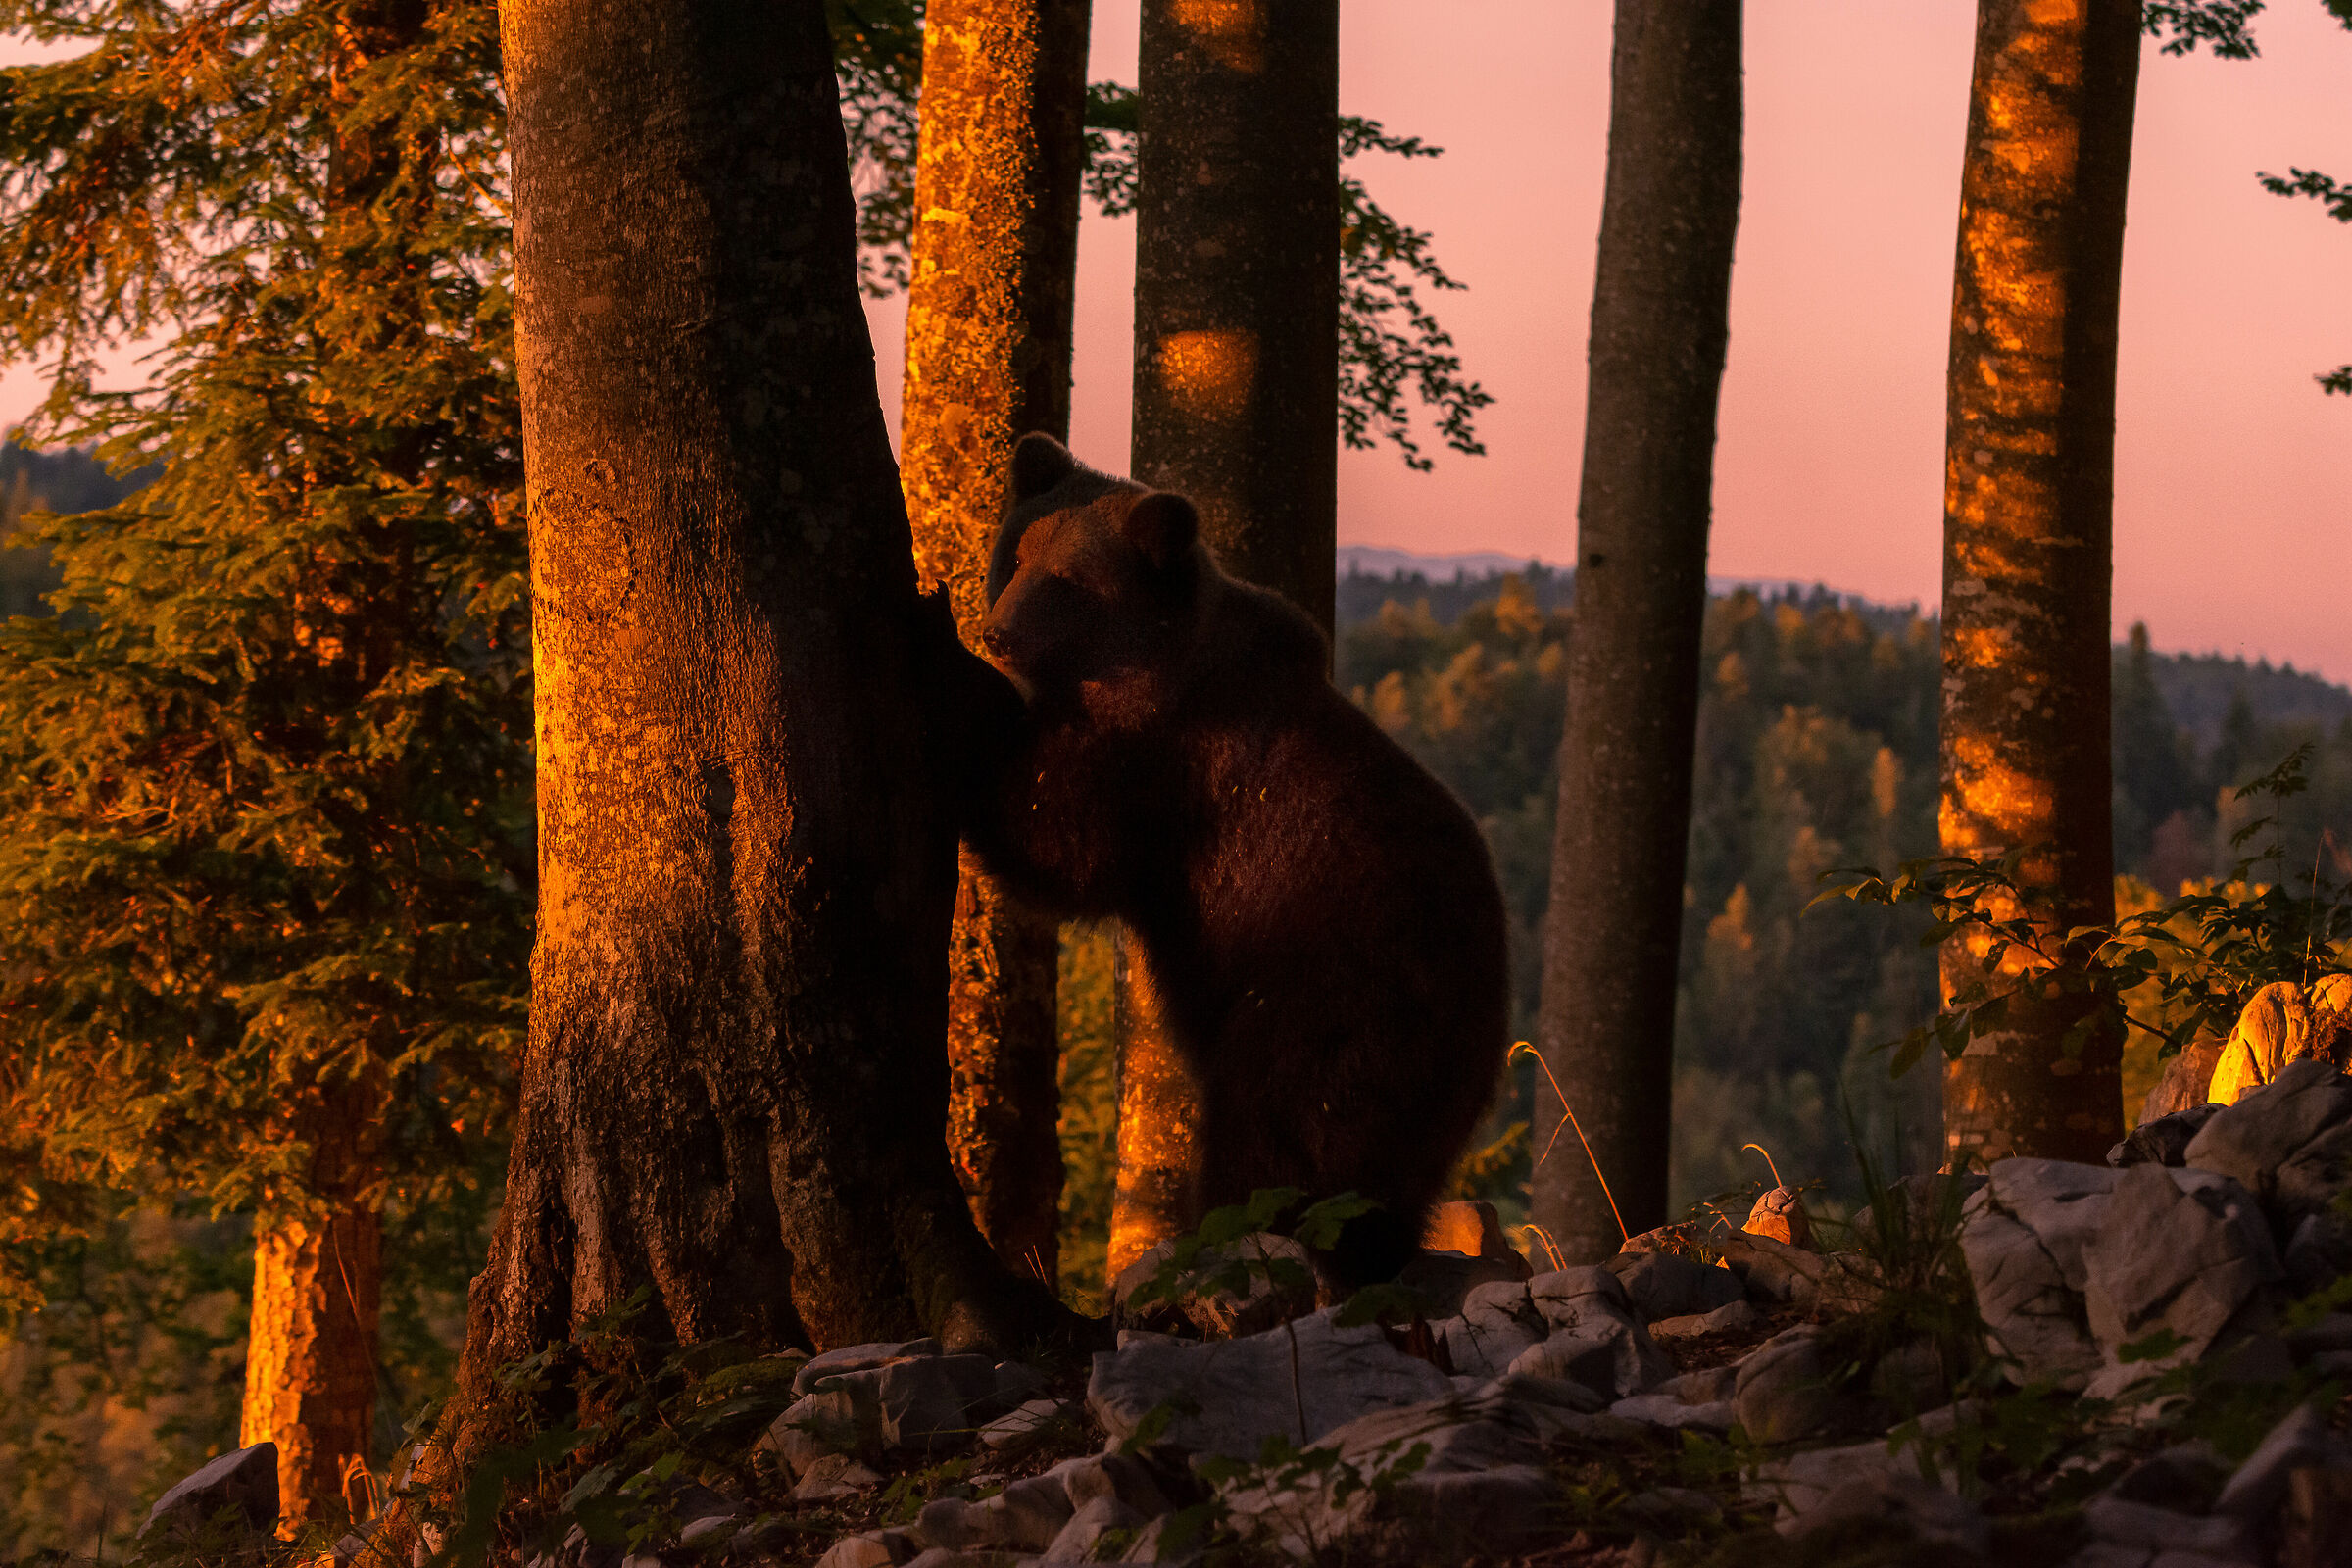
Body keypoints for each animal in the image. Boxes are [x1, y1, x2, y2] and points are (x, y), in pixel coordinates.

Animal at [960, 433, 1511, 1285]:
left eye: (1070, 580)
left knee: (1277, 1145)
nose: (997, 634)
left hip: (1324, 998)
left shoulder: (1171, 768)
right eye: (1014, 553)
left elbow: (1057, 840)